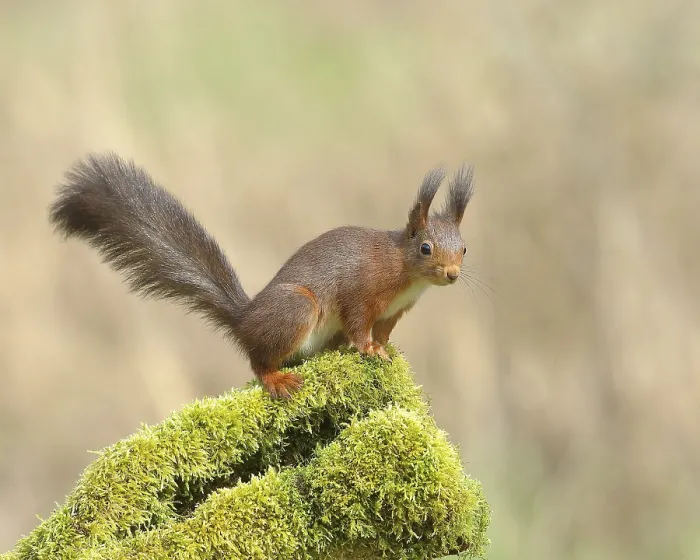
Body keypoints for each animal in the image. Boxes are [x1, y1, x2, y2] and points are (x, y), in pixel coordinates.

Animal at [49, 153, 475, 399]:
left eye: (465, 248)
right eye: (426, 249)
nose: (453, 274)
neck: (403, 269)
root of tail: (245, 321)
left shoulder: (395, 310)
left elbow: (384, 331)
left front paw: (385, 349)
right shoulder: (361, 290)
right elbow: (357, 323)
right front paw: (368, 349)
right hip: (296, 309)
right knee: (258, 361)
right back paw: (275, 379)